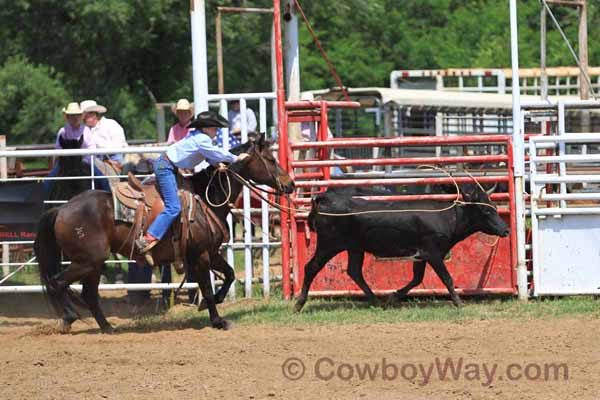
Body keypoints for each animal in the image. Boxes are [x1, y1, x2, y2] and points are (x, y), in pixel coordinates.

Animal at [34, 135, 294, 334]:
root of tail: (60, 209)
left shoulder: (209, 252)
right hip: (87, 261)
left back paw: (107, 327)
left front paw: (211, 305)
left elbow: (229, 275)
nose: (290, 184)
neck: (205, 197)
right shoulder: (200, 255)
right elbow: (207, 288)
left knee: (89, 294)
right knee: (58, 283)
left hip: (93, 264)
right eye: (270, 159)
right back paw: (69, 318)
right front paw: (218, 320)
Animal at [292, 184, 508, 312]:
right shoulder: (432, 252)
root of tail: (323, 198)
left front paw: (393, 297)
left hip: (355, 247)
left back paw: (377, 302)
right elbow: (447, 278)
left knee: (355, 271)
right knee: (311, 268)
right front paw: (459, 302)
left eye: (495, 208)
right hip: (329, 244)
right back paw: (299, 304)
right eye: (485, 210)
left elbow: (417, 279)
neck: (448, 217)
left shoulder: (421, 256)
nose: (505, 230)